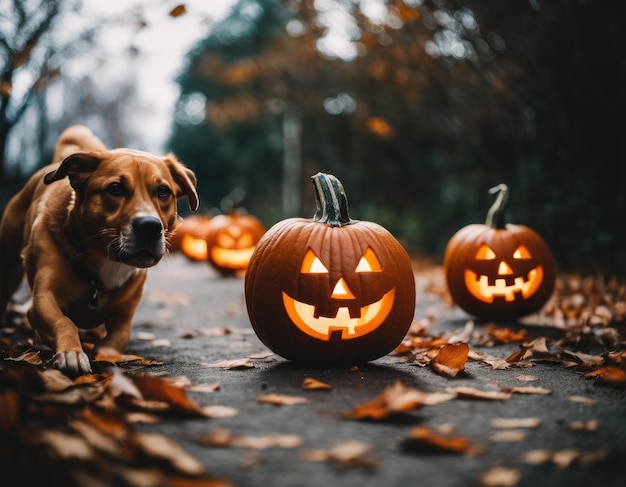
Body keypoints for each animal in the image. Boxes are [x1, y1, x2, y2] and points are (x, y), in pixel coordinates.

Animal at [0, 125, 197, 374]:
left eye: (163, 192)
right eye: (115, 188)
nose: (150, 227)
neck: (106, 262)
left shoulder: (123, 319)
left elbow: (116, 339)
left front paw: (102, 355)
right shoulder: (43, 299)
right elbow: (63, 322)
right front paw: (72, 353)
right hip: (8, 267)